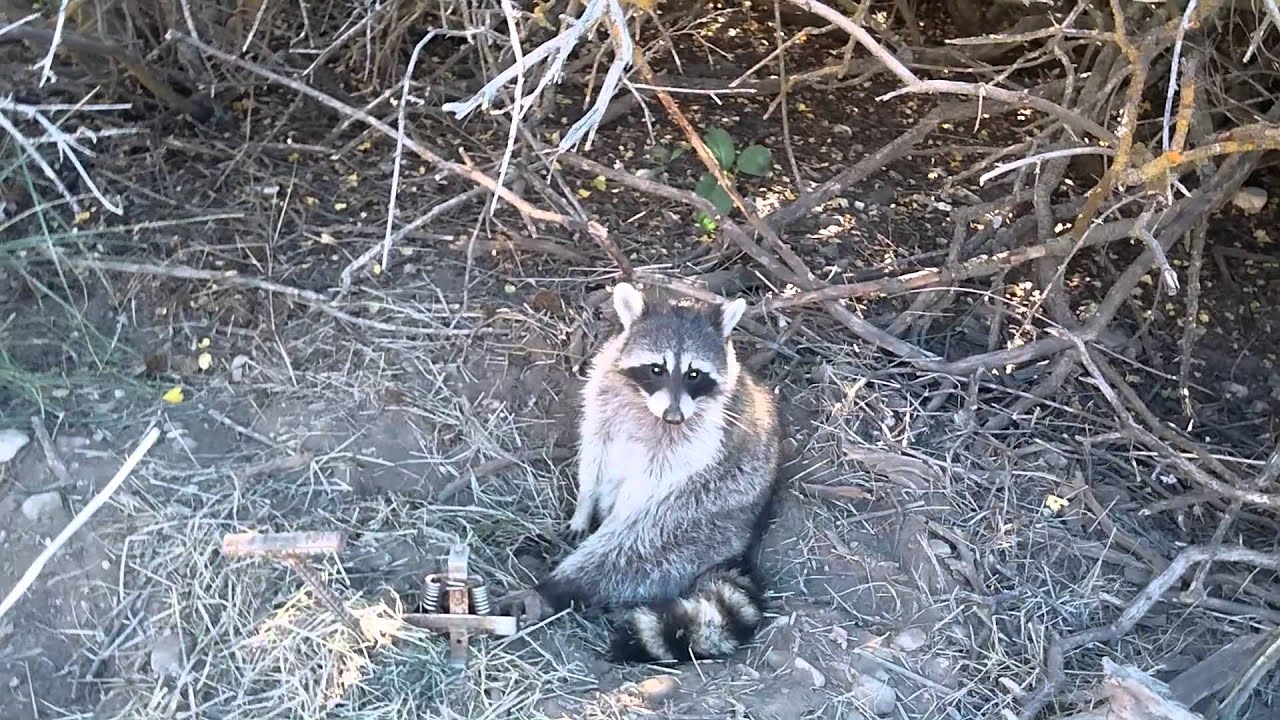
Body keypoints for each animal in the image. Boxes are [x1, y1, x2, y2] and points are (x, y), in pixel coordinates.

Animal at [512, 281, 778, 661]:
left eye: (694, 374)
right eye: (656, 368)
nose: (673, 417)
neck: (647, 406)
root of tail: (743, 545)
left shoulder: (699, 441)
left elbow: (650, 485)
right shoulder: (601, 393)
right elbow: (593, 452)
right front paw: (583, 506)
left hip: (707, 518)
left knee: (630, 549)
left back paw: (554, 589)